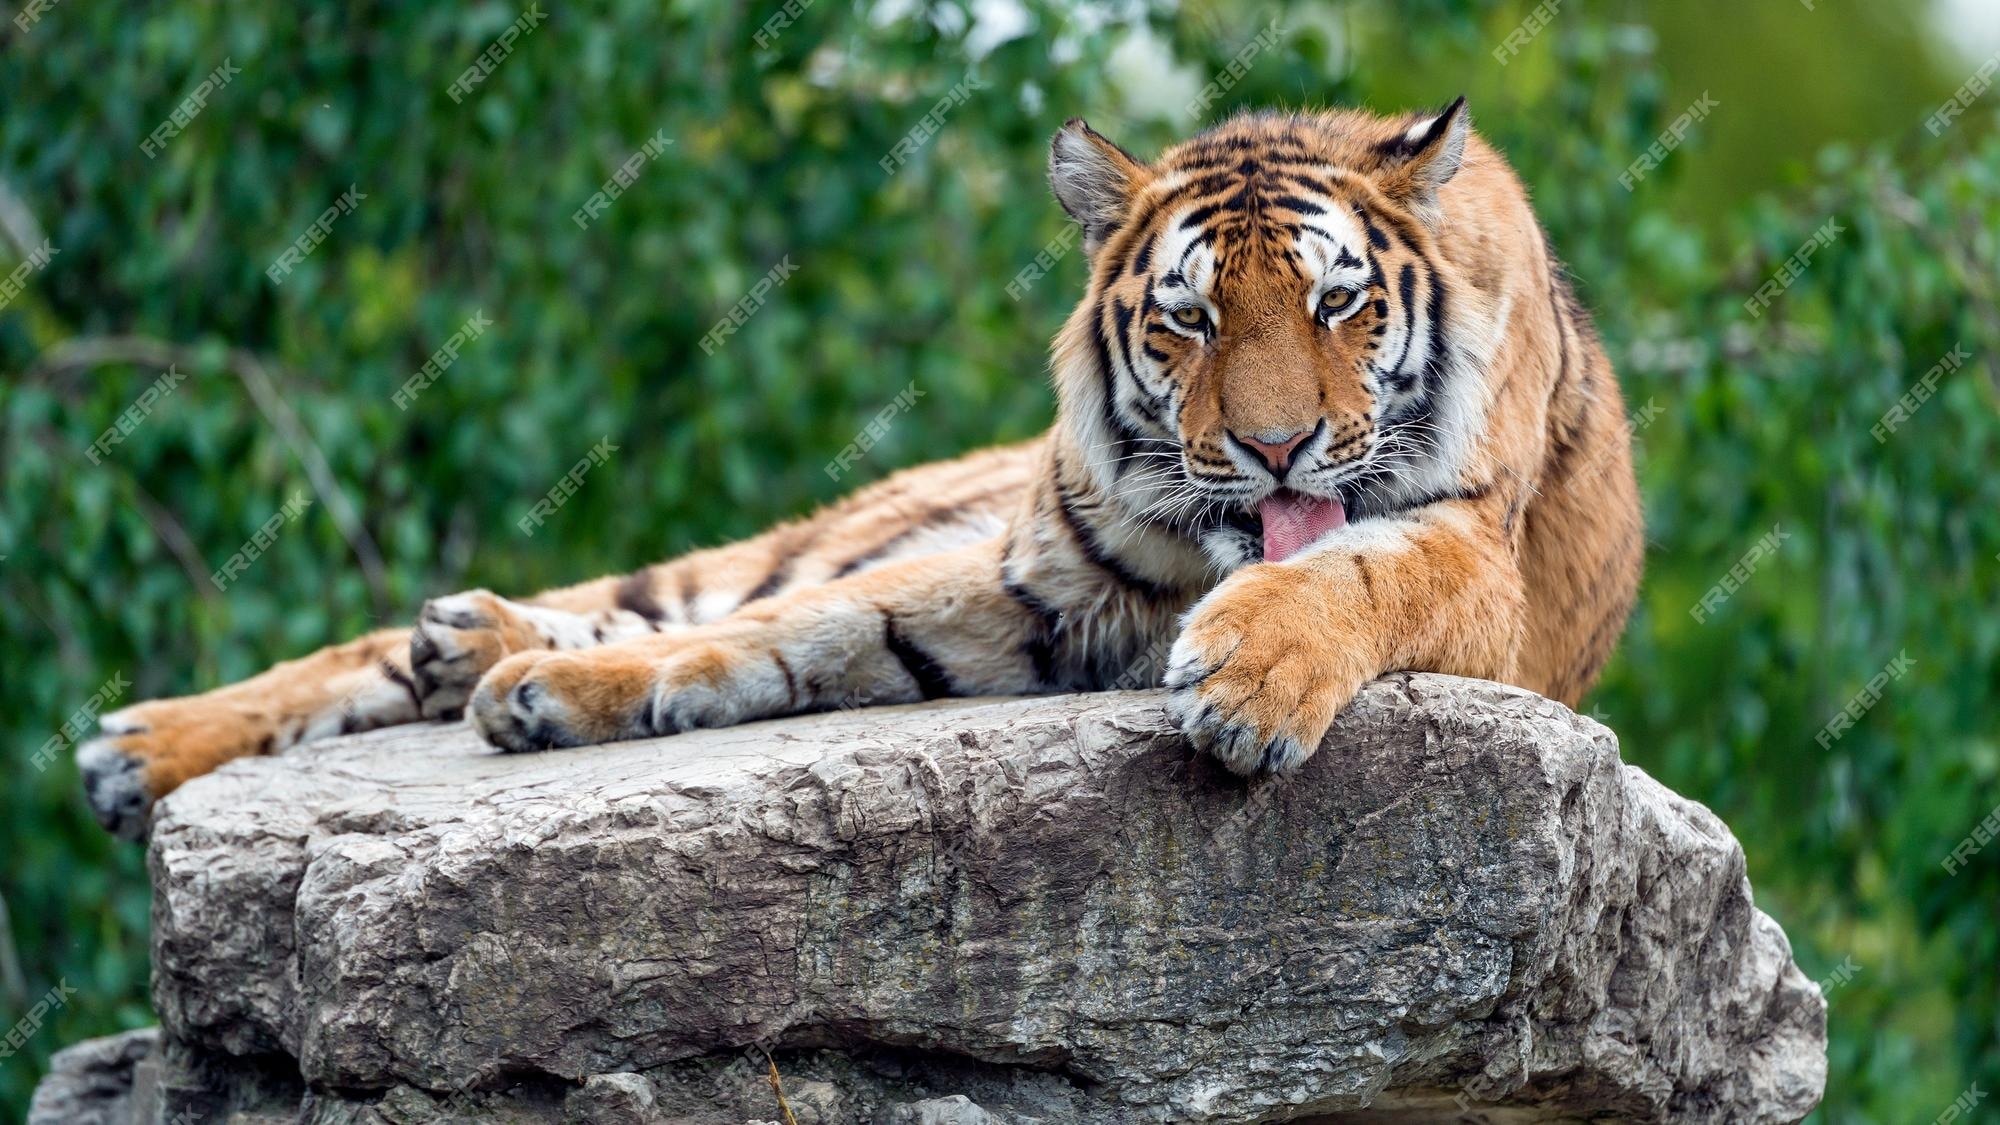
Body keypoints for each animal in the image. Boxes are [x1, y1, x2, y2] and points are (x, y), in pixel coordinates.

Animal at [74, 100, 1640, 836]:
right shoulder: (1034, 575)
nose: (1272, 446)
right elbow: (793, 630)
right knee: (608, 605)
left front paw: (1249, 679)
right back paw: (149, 743)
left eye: (1335, 305)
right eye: (1190, 317)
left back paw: (457, 646)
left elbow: (1360, 569)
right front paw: (552, 695)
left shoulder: (1478, 562)